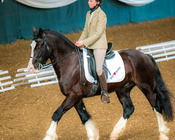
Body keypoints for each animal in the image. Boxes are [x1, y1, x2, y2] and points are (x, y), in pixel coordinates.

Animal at [27, 26, 174, 140]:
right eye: (31, 46)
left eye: (40, 46)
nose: (31, 68)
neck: (70, 63)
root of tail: (145, 55)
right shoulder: (75, 97)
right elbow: (84, 117)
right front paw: (93, 135)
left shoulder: (73, 95)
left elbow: (57, 114)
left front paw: (48, 136)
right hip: (123, 89)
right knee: (129, 109)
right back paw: (115, 133)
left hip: (147, 87)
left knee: (156, 107)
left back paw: (163, 134)